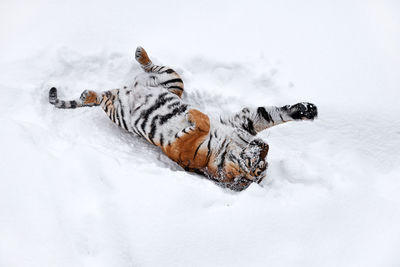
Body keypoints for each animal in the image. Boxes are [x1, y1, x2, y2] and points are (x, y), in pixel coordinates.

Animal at [49, 47, 318, 192]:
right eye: (261, 161)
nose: (264, 146)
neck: (229, 150)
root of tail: (126, 88)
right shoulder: (241, 122)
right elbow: (270, 114)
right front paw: (306, 109)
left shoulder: (179, 147)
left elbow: (201, 124)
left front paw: (194, 114)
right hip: (173, 79)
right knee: (151, 67)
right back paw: (140, 53)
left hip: (119, 111)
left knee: (101, 99)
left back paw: (88, 94)